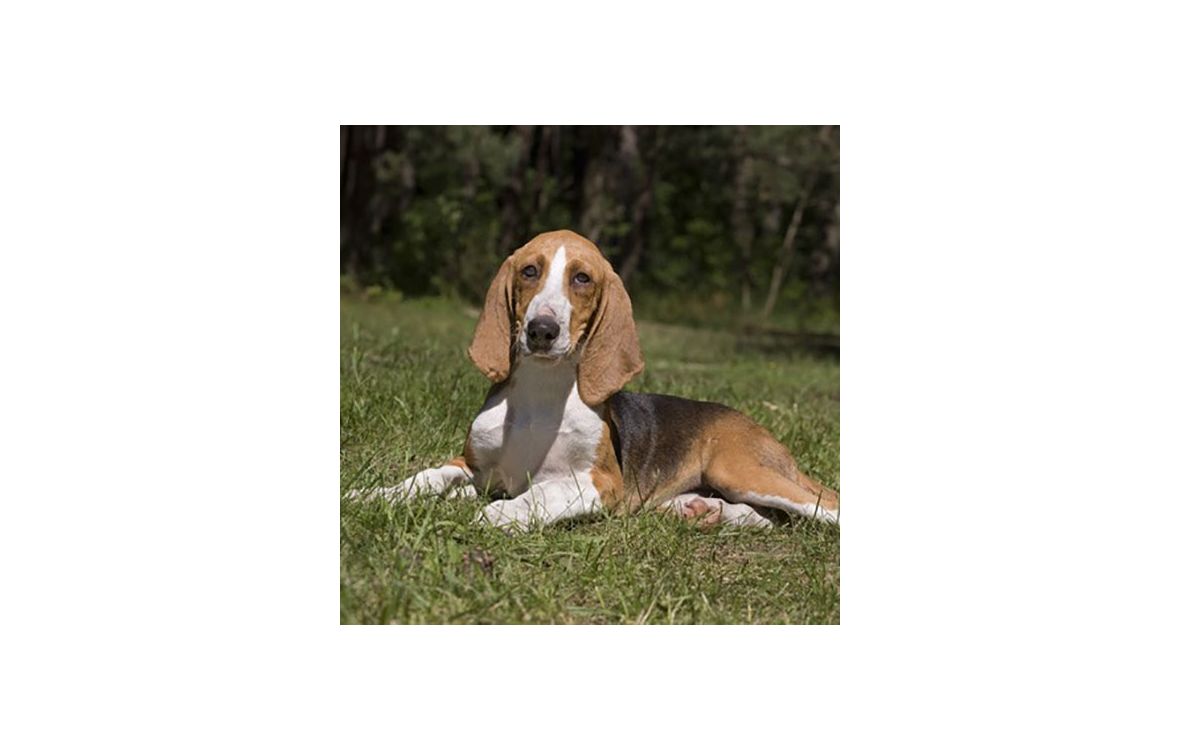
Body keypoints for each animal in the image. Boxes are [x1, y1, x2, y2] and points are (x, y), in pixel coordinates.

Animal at [361, 229, 839, 530]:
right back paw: (708, 512)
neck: (541, 393)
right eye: (529, 271)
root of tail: (754, 424)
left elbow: (543, 492)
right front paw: (374, 495)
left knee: (824, 505)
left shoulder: (600, 481)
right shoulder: (472, 467)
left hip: (740, 469)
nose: (541, 330)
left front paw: (500, 514)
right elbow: (427, 477)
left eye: (582, 278)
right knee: (768, 519)